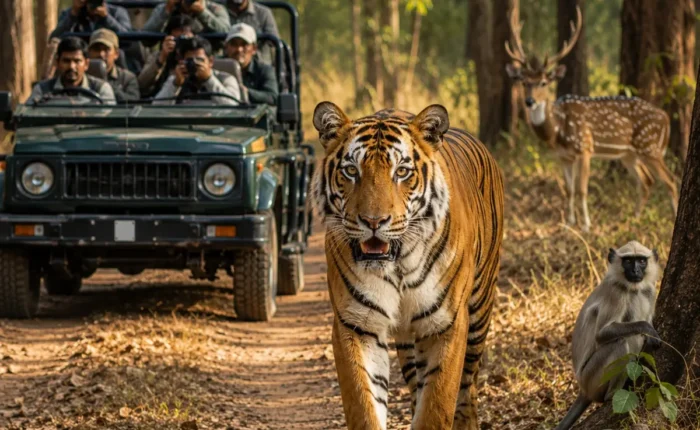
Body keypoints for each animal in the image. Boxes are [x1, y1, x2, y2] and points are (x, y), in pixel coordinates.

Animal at [311, 101, 505, 430]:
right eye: (351, 171)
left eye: (401, 172)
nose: (373, 222)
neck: (397, 264)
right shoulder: (356, 325)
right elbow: (364, 405)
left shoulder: (446, 324)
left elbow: (437, 405)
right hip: (408, 341)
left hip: (479, 310)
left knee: (468, 389)